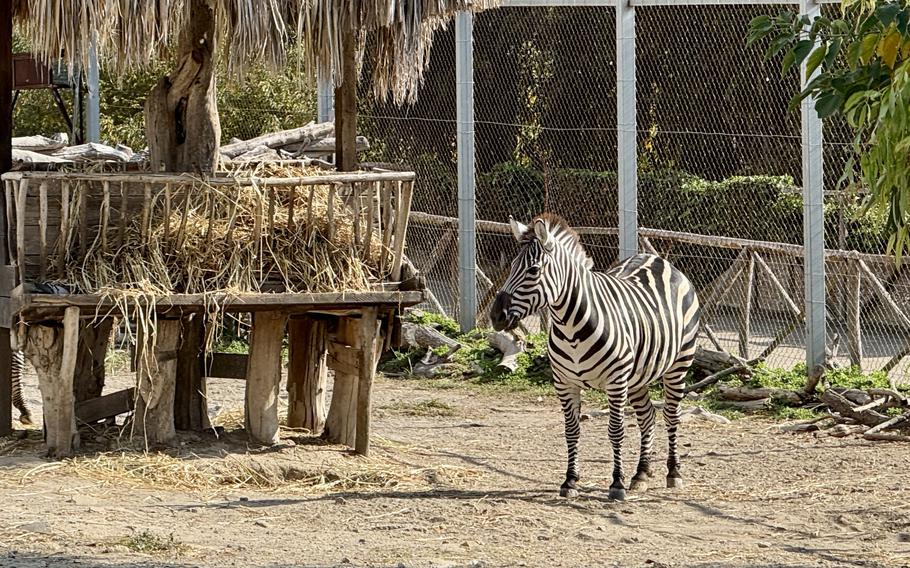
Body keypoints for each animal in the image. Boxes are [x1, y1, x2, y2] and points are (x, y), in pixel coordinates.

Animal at [490, 214, 700, 501]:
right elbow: (571, 430)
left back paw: (673, 473)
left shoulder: (615, 381)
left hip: (679, 364)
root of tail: (657, 259)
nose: (495, 316)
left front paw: (616, 484)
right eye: (511, 267)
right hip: (639, 374)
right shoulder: (564, 382)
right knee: (647, 416)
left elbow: (616, 431)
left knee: (671, 415)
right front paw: (570, 481)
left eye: (533, 271)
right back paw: (641, 474)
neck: (570, 328)